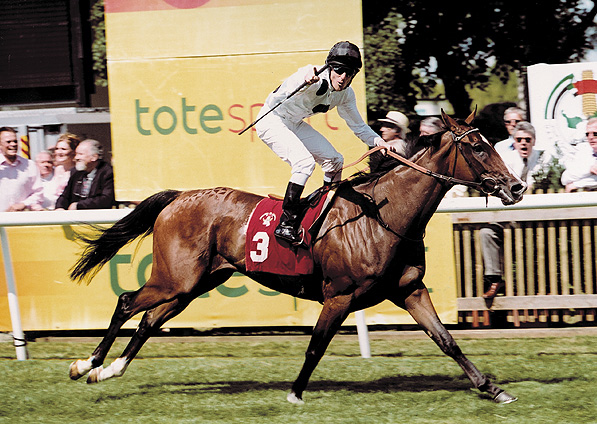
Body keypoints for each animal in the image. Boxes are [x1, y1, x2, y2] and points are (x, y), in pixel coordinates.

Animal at [67, 109, 520, 404]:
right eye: (478, 147)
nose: (516, 186)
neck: (382, 216)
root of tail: (179, 196)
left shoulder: (409, 289)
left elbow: (446, 340)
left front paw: (491, 388)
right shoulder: (340, 296)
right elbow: (316, 346)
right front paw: (295, 393)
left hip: (194, 284)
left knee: (149, 320)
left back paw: (108, 370)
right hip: (175, 278)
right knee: (127, 302)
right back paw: (86, 364)